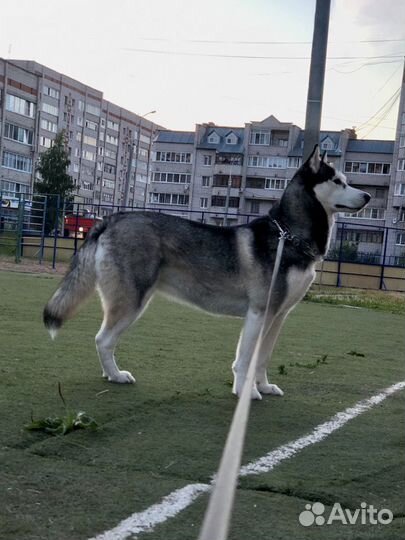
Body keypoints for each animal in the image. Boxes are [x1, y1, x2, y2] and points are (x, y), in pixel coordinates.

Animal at [43, 146, 370, 398]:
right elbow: (245, 360)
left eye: (348, 180)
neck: (288, 236)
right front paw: (245, 393)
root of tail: (111, 218)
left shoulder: (278, 316)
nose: (367, 196)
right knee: (103, 339)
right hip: (131, 302)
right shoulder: (259, 313)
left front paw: (263, 387)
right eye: (338, 181)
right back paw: (116, 375)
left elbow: (262, 359)